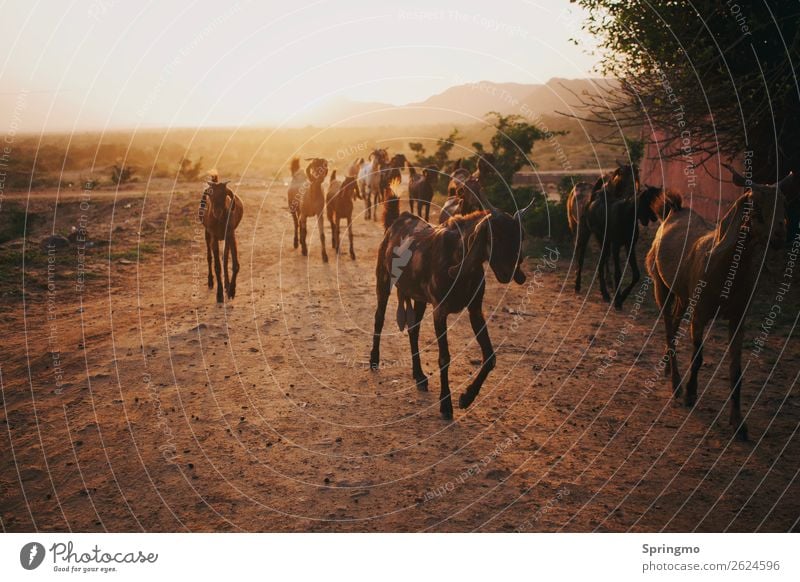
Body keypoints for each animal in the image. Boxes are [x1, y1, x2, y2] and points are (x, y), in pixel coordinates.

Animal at [200, 178, 244, 306]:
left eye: (224, 194)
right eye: (210, 194)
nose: (217, 212)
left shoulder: (231, 235)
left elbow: (235, 265)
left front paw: (232, 291)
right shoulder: (214, 237)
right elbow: (217, 267)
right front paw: (219, 295)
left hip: (226, 239)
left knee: (225, 258)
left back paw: (227, 285)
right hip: (207, 233)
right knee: (209, 257)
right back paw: (211, 282)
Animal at [372, 187, 536, 420]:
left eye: (518, 237)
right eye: (494, 235)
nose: (509, 272)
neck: (459, 260)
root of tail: (396, 221)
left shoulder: (475, 310)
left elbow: (490, 357)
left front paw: (466, 398)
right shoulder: (440, 311)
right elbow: (444, 357)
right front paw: (446, 404)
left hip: (419, 298)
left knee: (413, 330)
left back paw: (419, 376)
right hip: (384, 281)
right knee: (379, 317)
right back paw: (374, 359)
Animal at [648, 167, 792, 440]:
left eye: (783, 202)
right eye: (754, 205)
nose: (780, 236)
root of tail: (674, 210)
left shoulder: (739, 316)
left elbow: (736, 369)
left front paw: (739, 423)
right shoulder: (700, 312)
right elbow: (698, 356)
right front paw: (690, 394)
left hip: (683, 296)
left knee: (674, 320)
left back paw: (667, 368)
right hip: (660, 284)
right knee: (669, 327)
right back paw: (676, 384)